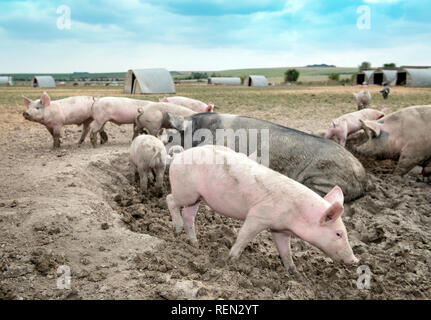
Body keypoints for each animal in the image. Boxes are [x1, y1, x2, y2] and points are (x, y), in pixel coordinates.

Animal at [167, 145, 360, 272]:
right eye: (338, 234)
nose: (355, 260)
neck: (296, 214)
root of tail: (179, 155)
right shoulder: (258, 215)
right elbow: (244, 237)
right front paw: (230, 260)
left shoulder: (280, 230)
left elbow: (285, 250)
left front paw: (294, 272)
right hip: (186, 192)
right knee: (170, 200)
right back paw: (177, 229)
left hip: (197, 197)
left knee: (188, 215)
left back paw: (195, 244)